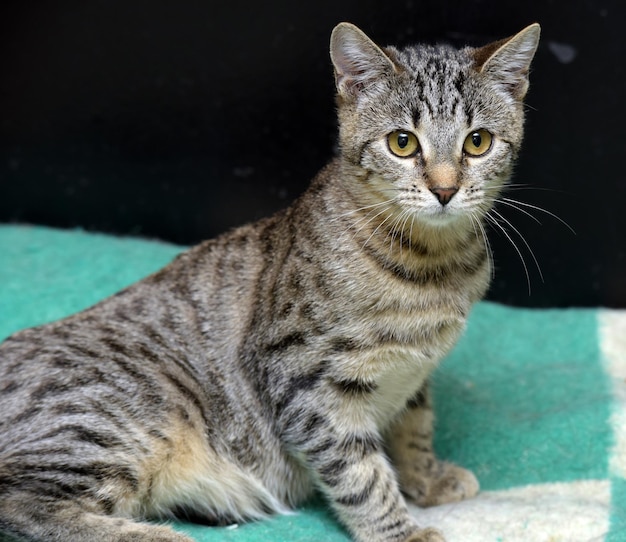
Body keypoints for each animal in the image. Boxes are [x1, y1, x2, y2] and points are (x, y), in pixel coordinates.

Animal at [0, 21, 536, 542]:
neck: (433, 265)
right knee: (21, 501)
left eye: (477, 142)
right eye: (402, 143)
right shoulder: (303, 382)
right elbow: (359, 472)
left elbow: (414, 426)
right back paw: (156, 537)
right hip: (122, 414)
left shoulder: (413, 376)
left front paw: (426, 477)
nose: (445, 190)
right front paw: (400, 532)